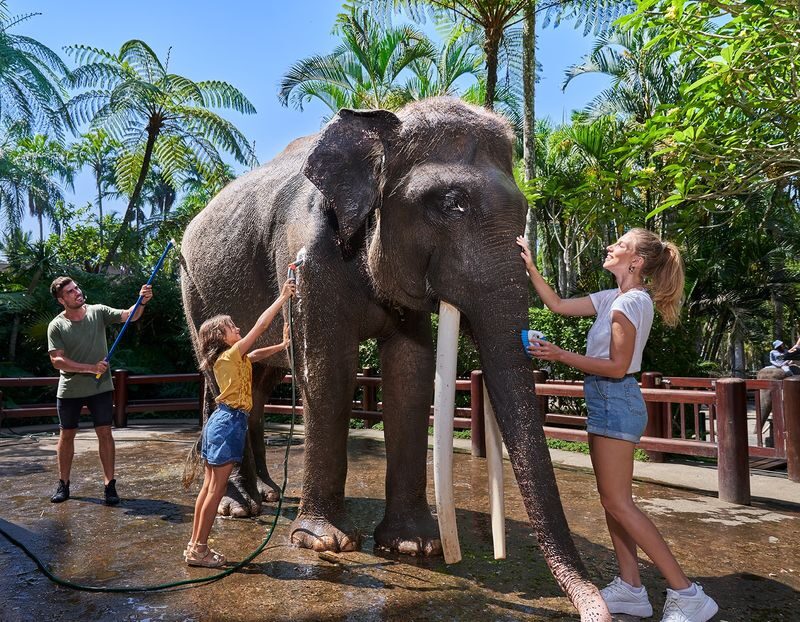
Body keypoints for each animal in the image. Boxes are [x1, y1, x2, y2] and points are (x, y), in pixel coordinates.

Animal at [180, 97, 608, 620]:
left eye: (525, 210)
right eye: (450, 204)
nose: (596, 607)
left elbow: (411, 371)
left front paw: (412, 547)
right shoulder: (309, 255)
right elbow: (328, 370)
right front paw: (323, 543)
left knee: (258, 385)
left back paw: (268, 494)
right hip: (195, 289)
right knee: (217, 375)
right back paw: (239, 508)